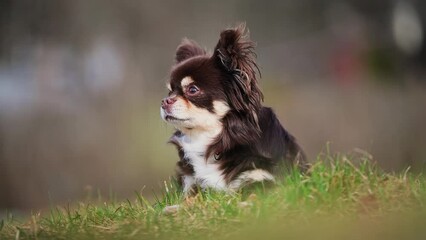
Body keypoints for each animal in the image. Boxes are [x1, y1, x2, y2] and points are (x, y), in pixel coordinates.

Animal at [160, 24, 306, 194]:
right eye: (170, 91)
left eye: (192, 89)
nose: (164, 101)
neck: (211, 139)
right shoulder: (192, 183)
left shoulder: (261, 177)